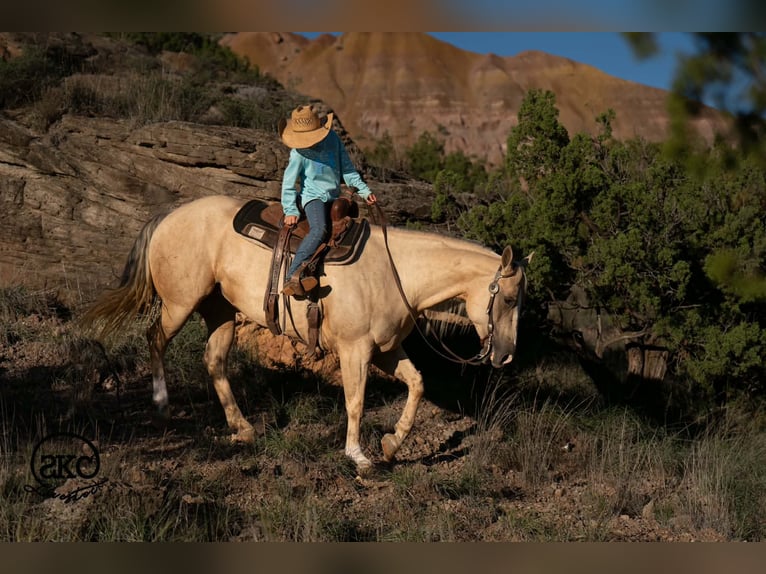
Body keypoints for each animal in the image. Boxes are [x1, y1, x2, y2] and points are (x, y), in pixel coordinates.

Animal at [82, 195, 532, 471]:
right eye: (510, 298)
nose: (506, 355)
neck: (398, 274)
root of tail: (169, 215)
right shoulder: (355, 350)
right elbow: (355, 402)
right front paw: (358, 456)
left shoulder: (387, 350)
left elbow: (417, 385)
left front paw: (391, 445)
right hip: (180, 303)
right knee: (156, 340)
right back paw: (161, 406)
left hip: (220, 311)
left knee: (214, 361)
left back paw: (242, 428)